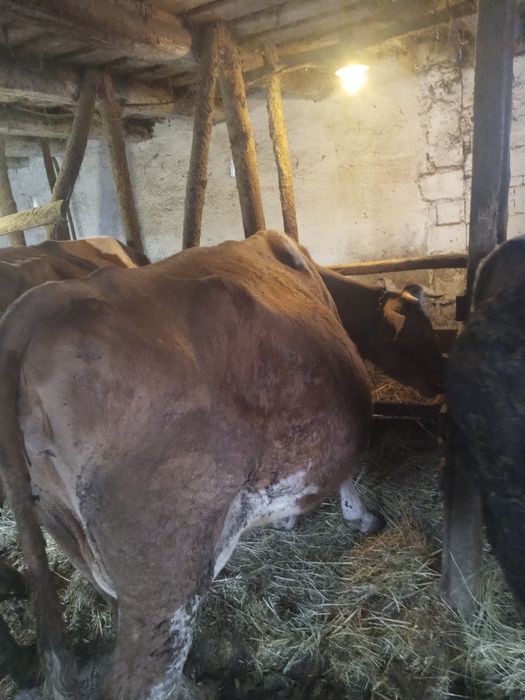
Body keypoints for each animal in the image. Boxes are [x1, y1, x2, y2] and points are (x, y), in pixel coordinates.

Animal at [0, 231, 443, 698]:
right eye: (421, 333)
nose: (441, 379)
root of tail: (34, 309)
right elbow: (345, 472)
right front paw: (359, 516)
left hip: (68, 532)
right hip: (166, 575)